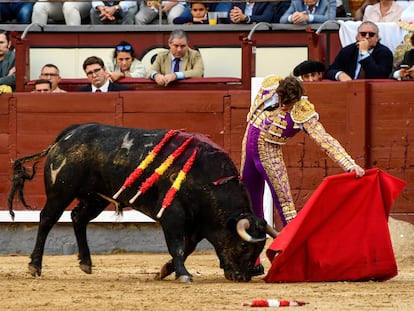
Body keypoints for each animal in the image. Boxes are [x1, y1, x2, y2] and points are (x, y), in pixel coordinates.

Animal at [8, 123, 276, 284]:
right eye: (244, 246)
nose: (242, 277)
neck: (209, 179)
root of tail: (68, 134)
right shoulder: (173, 216)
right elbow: (177, 247)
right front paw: (183, 275)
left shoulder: (197, 225)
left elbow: (186, 248)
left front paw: (165, 271)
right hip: (60, 192)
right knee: (46, 220)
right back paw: (34, 266)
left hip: (95, 197)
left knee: (78, 218)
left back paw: (86, 262)